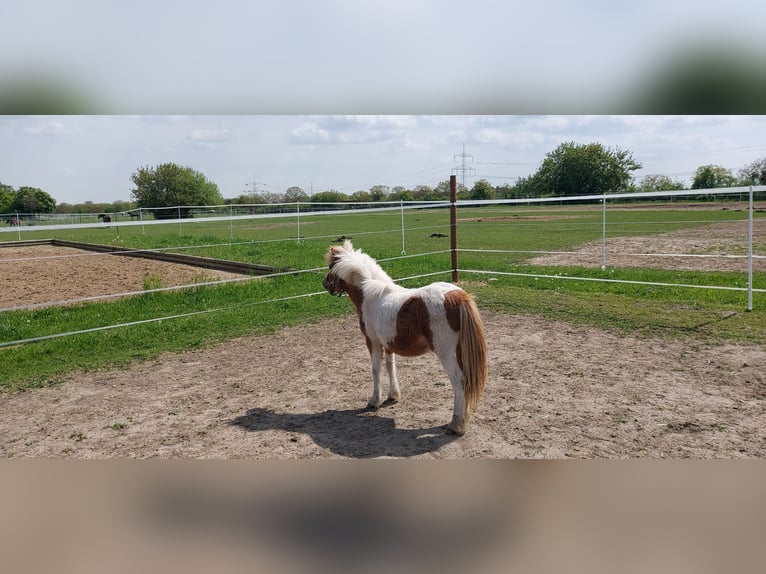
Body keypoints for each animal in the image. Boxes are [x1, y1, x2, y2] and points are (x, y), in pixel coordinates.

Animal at [323, 240, 488, 435]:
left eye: (331, 266)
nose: (325, 283)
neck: (369, 295)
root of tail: (457, 296)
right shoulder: (388, 344)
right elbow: (390, 367)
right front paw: (393, 396)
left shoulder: (373, 342)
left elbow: (376, 370)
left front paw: (374, 401)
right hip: (460, 351)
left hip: (446, 353)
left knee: (459, 380)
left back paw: (456, 424)